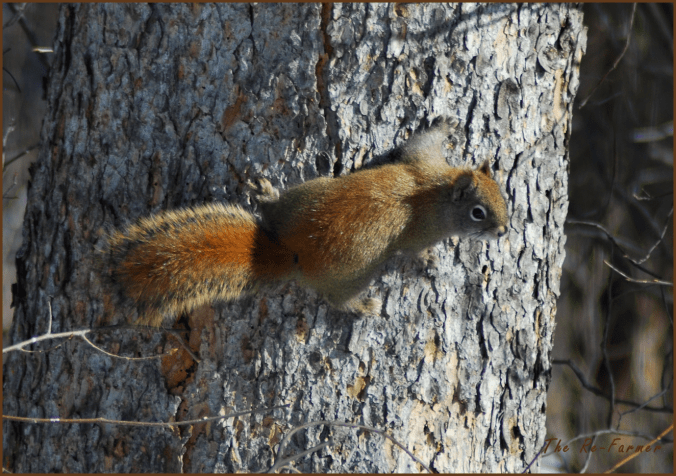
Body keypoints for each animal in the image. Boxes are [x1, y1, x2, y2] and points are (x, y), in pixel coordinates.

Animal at [103, 120, 509, 327]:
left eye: (502, 196)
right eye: (478, 213)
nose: (503, 231)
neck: (438, 190)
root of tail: (293, 253)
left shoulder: (419, 160)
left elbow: (416, 143)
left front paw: (445, 123)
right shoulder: (424, 223)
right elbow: (414, 250)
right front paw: (429, 261)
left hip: (307, 192)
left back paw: (267, 194)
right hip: (357, 273)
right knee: (336, 299)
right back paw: (362, 307)